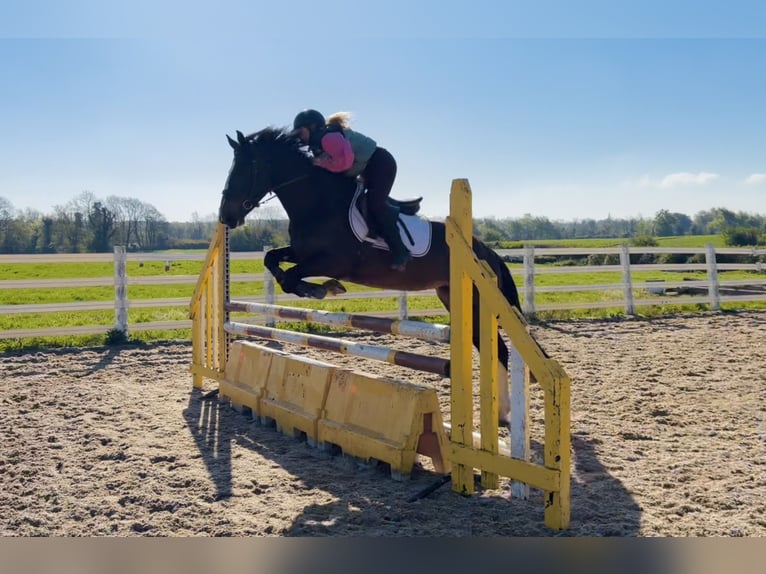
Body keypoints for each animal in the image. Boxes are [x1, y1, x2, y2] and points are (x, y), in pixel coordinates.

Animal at [218, 128, 522, 424]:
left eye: (245, 168)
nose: (225, 217)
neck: (318, 202)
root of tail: (486, 252)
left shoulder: (334, 261)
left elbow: (291, 277)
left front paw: (322, 289)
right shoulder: (301, 253)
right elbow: (272, 261)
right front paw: (321, 288)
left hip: (477, 301)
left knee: (500, 350)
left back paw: (503, 413)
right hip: (452, 297)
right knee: (492, 348)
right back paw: (502, 413)